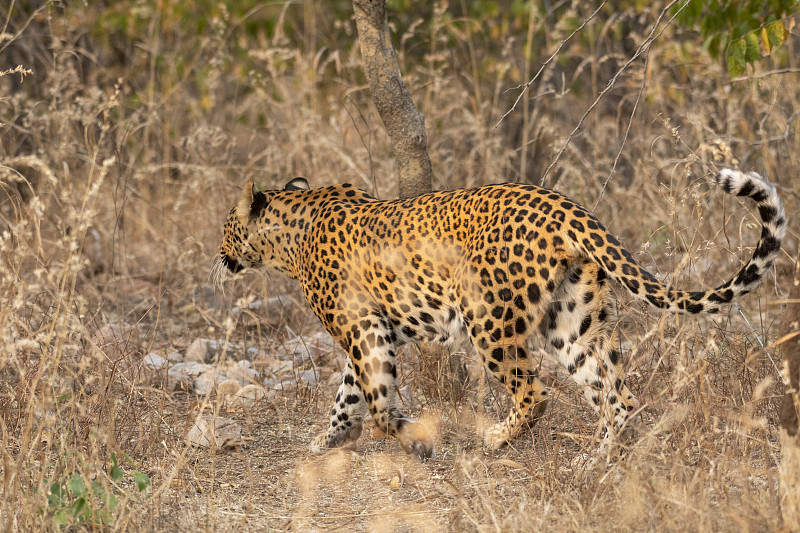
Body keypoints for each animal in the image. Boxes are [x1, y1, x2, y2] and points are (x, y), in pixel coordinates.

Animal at [212, 169, 780, 458]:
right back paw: (595, 461)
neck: (292, 233)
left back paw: (495, 440)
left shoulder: (365, 330)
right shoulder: (371, 330)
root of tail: (569, 208)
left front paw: (415, 438)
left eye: (225, 228)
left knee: (536, 393)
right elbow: (350, 393)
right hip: (575, 320)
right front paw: (330, 438)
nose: (217, 255)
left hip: (488, 319)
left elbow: (374, 400)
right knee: (617, 395)